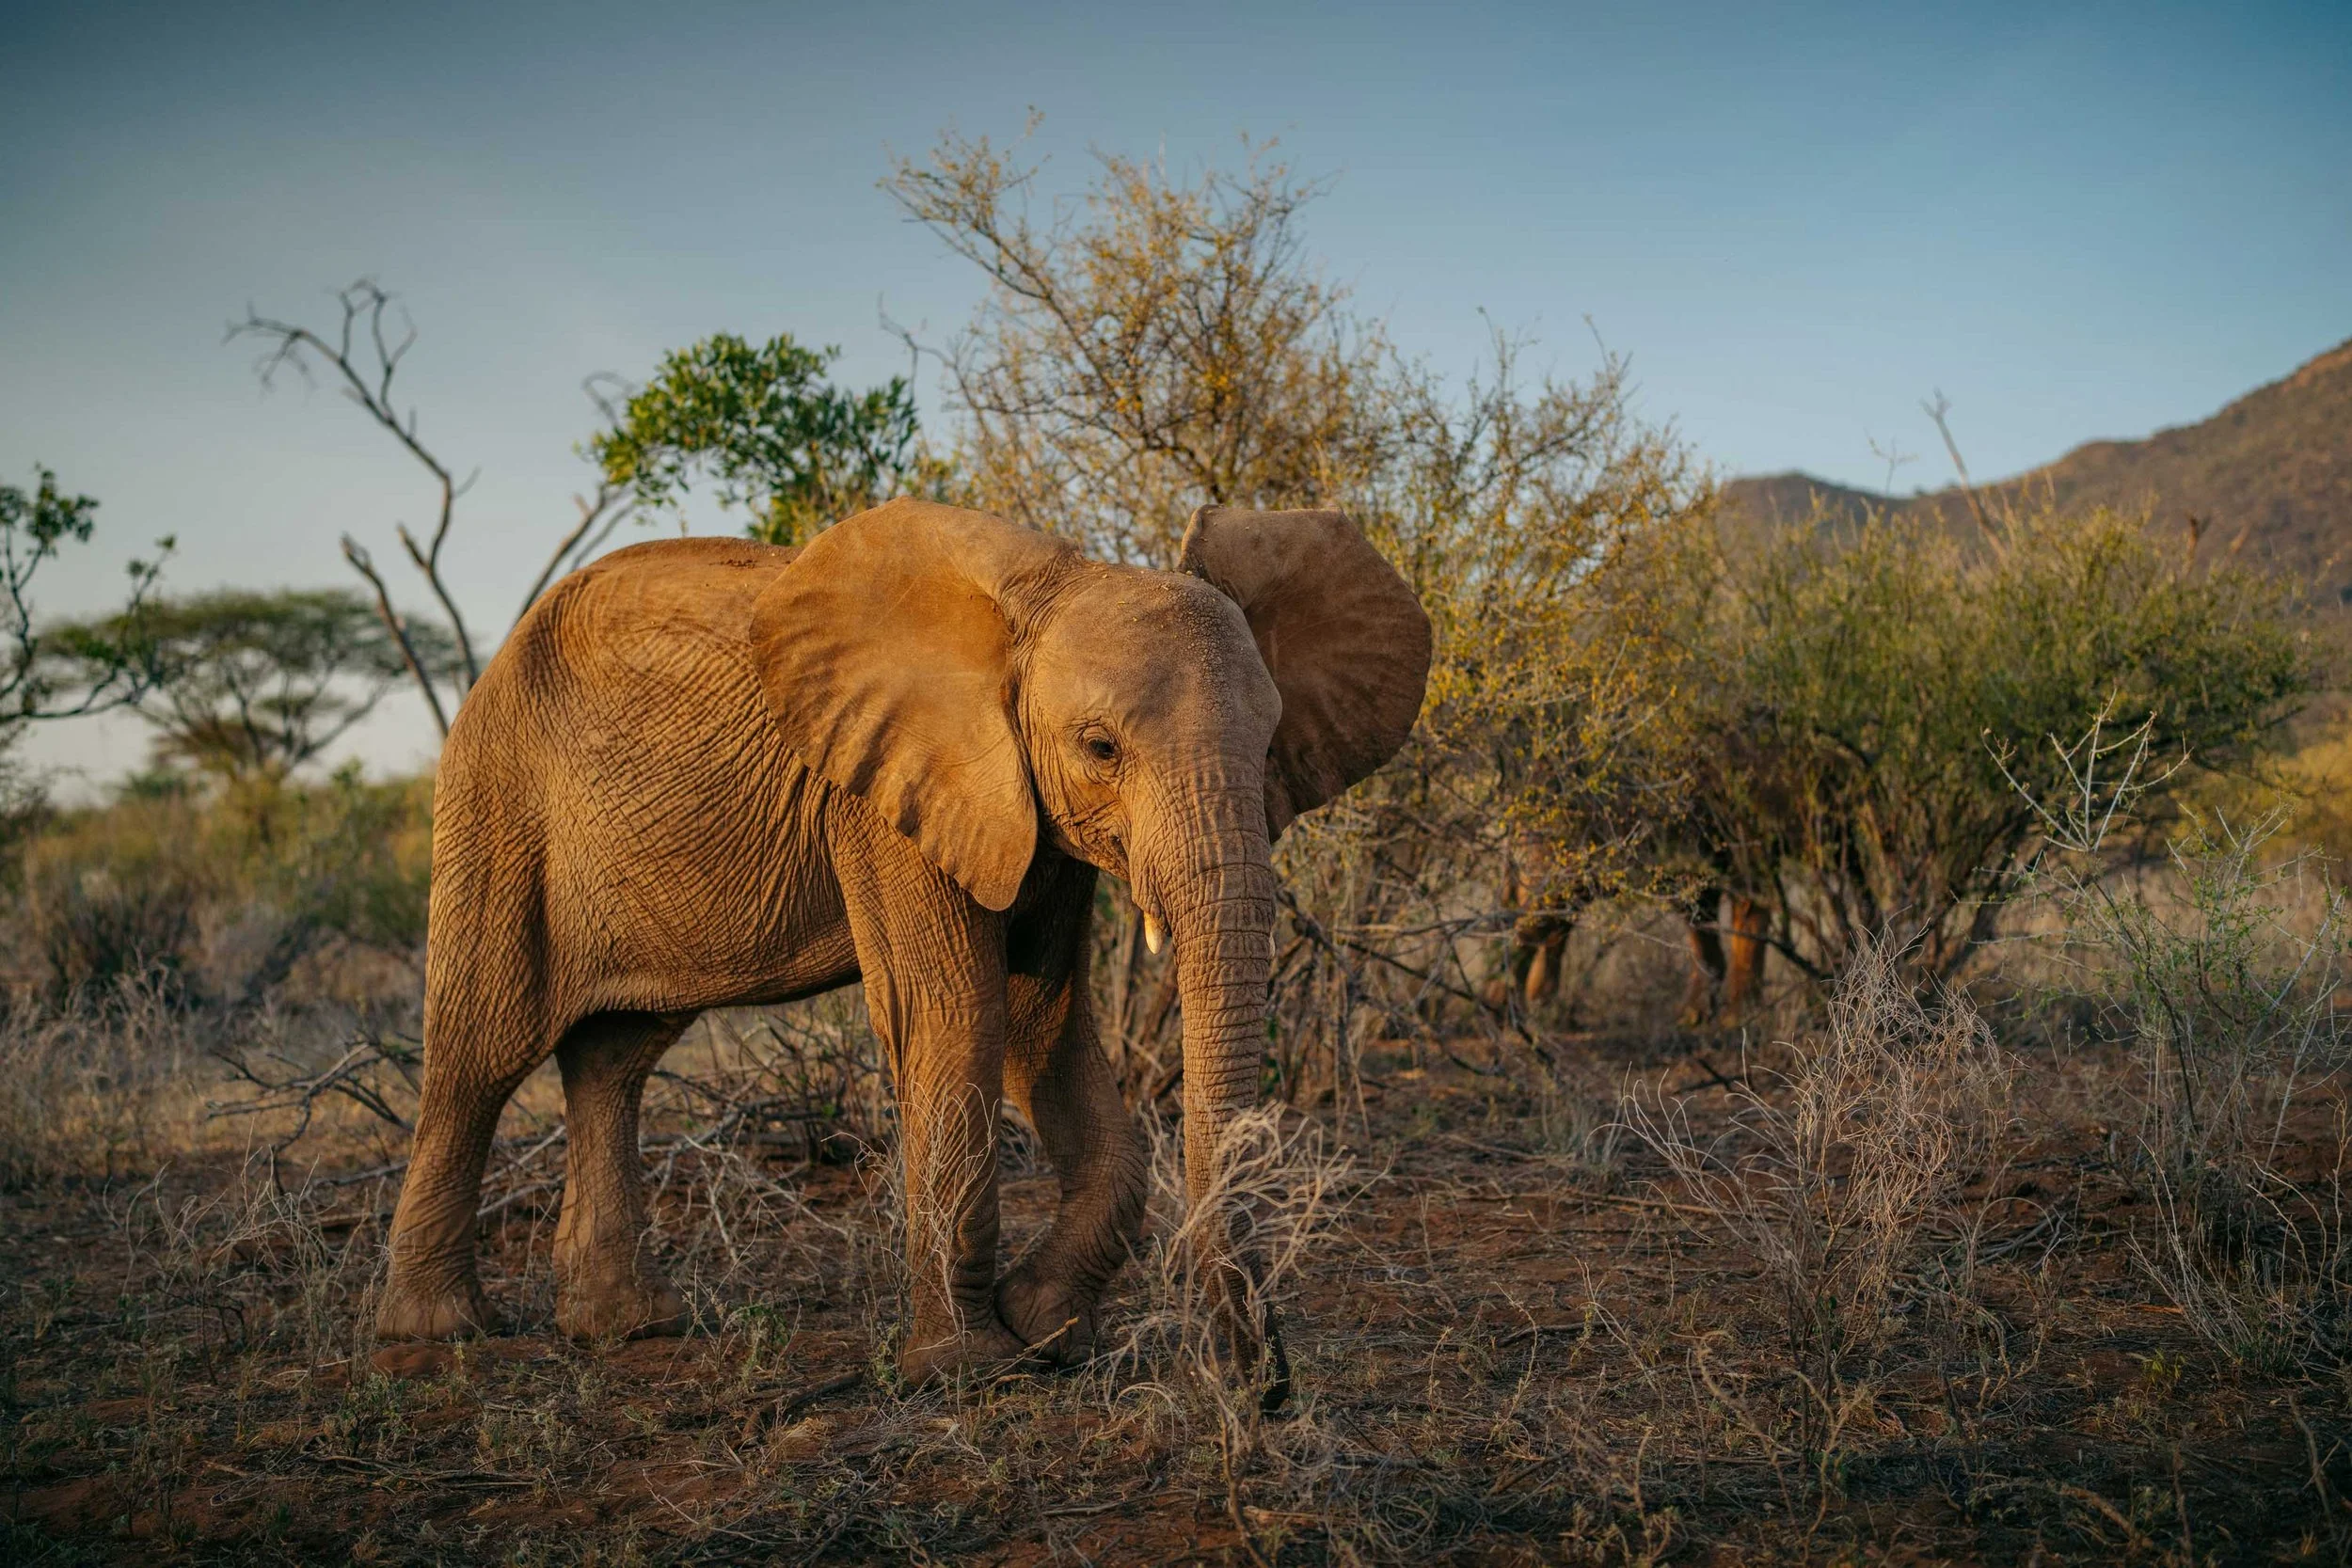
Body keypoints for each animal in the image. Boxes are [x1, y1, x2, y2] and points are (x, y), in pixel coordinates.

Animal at [373, 497, 1432, 1399]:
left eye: (1271, 745)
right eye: (1100, 748)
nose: (1267, 1386)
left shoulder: (1033, 818)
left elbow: (1043, 1021)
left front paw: (1043, 1324)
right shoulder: (889, 793)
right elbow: (957, 1010)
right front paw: (972, 1370)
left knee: (614, 1054)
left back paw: (629, 1326)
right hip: (499, 795)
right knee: (481, 1049)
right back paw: (438, 1334)